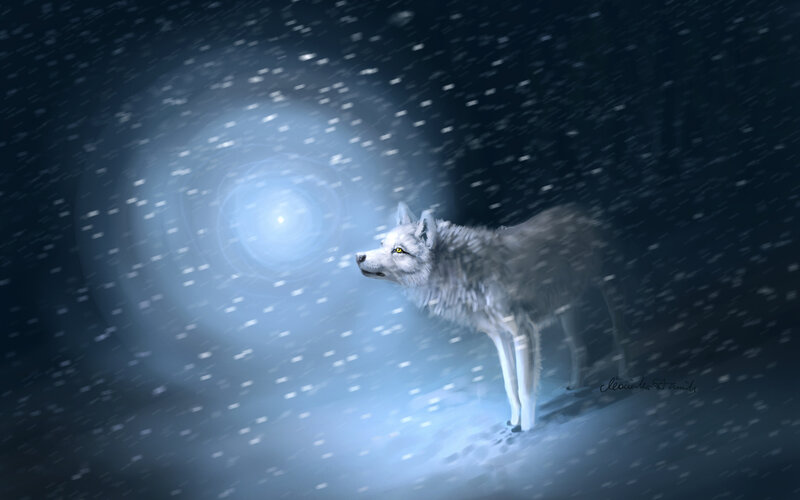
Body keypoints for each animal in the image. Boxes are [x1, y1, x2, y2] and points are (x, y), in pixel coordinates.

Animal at [356, 202, 630, 432]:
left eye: (399, 250)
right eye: (382, 244)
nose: (358, 257)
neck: (464, 271)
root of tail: (583, 210)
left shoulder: (524, 332)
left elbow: (526, 387)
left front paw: (528, 429)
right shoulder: (500, 337)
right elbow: (510, 386)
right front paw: (514, 423)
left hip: (610, 291)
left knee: (621, 334)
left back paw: (626, 375)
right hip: (566, 311)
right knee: (579, 348)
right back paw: (575, 385)